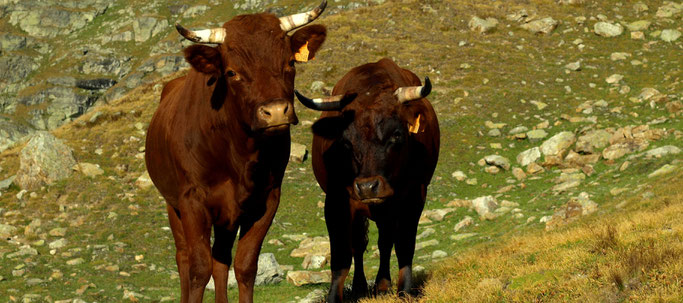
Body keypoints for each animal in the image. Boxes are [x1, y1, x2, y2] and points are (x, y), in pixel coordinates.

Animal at [146, 1, 348, 302]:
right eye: (232, 72)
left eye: (290, 63)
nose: (276, 111)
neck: (239, 152)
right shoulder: (192, 200)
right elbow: (198, 268)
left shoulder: (266, 199)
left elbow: (245, 265)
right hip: (173, 204)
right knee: (183, 257)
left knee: (220, 259)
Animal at [296, 58, 440, 302]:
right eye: (346, 142)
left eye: (397, 135)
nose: (367, 187)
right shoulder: (336, 201)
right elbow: (342, 256)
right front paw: (335, 297)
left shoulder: (415, 196)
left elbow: (404, 245)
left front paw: (405, 291)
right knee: (359, 244)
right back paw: (361, 287)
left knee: (385, 241)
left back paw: (382, 284)